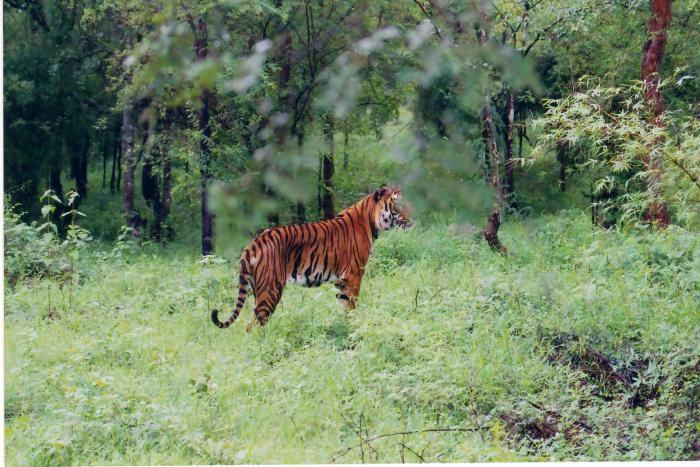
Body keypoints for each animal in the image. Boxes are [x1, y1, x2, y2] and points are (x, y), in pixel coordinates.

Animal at [211, 184, 412, 332]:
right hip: (270, 290)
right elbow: (352, 306)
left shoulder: (341, 281)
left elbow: (343, 306)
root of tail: (254, 242)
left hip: (258, 289)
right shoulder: (354, 274)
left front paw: (345, 327)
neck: (370, 221)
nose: (412, 219)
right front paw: (355, 327)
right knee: (252, 325)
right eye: (397, 204)